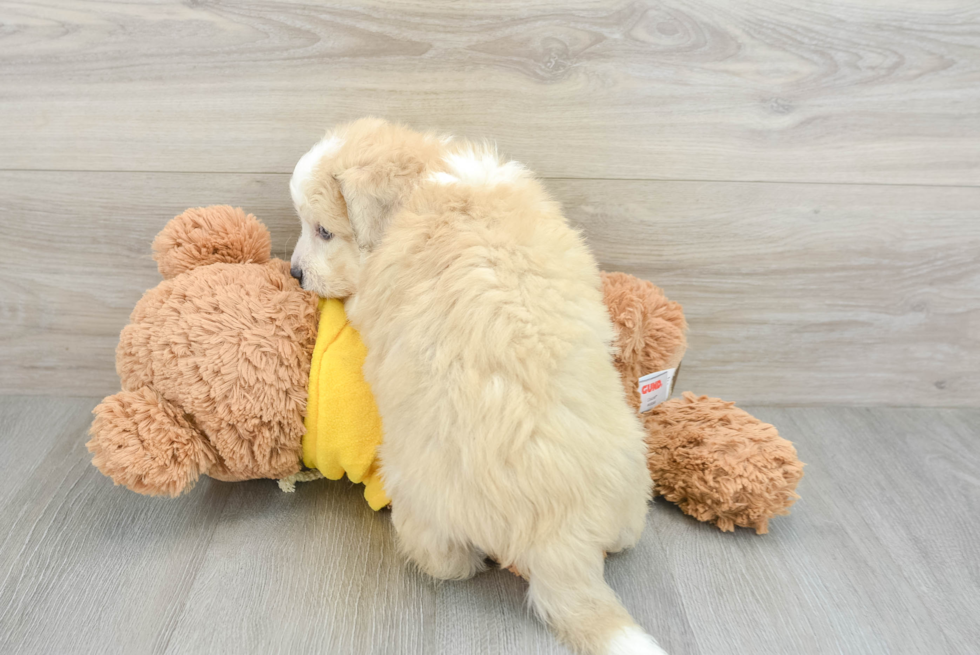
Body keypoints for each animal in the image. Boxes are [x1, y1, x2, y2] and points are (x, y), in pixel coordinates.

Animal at [290, 119, 668, 655]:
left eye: (323, 230)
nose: (294, 273)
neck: (425, 178)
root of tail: (561, 541)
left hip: (420, 498)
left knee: (448, 561)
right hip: (633, 474)